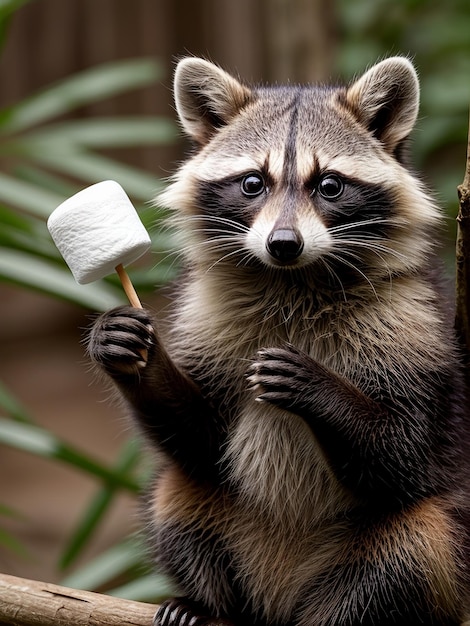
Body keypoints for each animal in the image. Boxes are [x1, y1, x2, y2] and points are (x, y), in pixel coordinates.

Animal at [87, 56, 470, 620]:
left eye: (329, 185)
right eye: (252, 183)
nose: (283, 244)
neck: (292, 281)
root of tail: (279, 601)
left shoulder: (413, 324)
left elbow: (407, 453)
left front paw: (320, 390)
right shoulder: (206, 320)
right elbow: (200, 442)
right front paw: (138, 360)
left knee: (419, 536)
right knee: (178, 489)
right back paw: (209, 601)